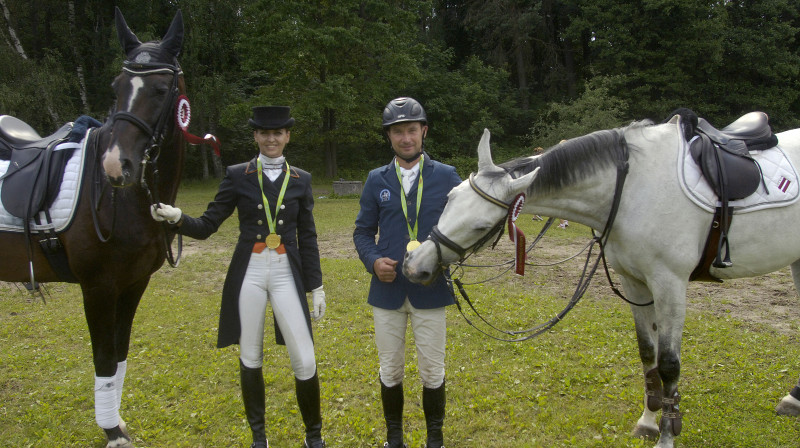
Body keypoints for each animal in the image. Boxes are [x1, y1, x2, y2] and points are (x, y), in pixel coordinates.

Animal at [1, 7, 189, 448]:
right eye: (117, 87)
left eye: (161, 89)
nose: (115, 167)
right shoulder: (98, 286)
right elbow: (103, 358)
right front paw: (112, 431)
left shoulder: (134, 283)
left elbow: (119, 354)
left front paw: (116, 421)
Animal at [404, 115, 800, 448]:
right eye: (450, 198)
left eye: (481, 226)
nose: (415, 267)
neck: (633, 187)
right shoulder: (634, 282)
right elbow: (647, 355)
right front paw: (648, 421)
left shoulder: (669, 285)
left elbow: (669, 364)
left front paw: (667, 436)